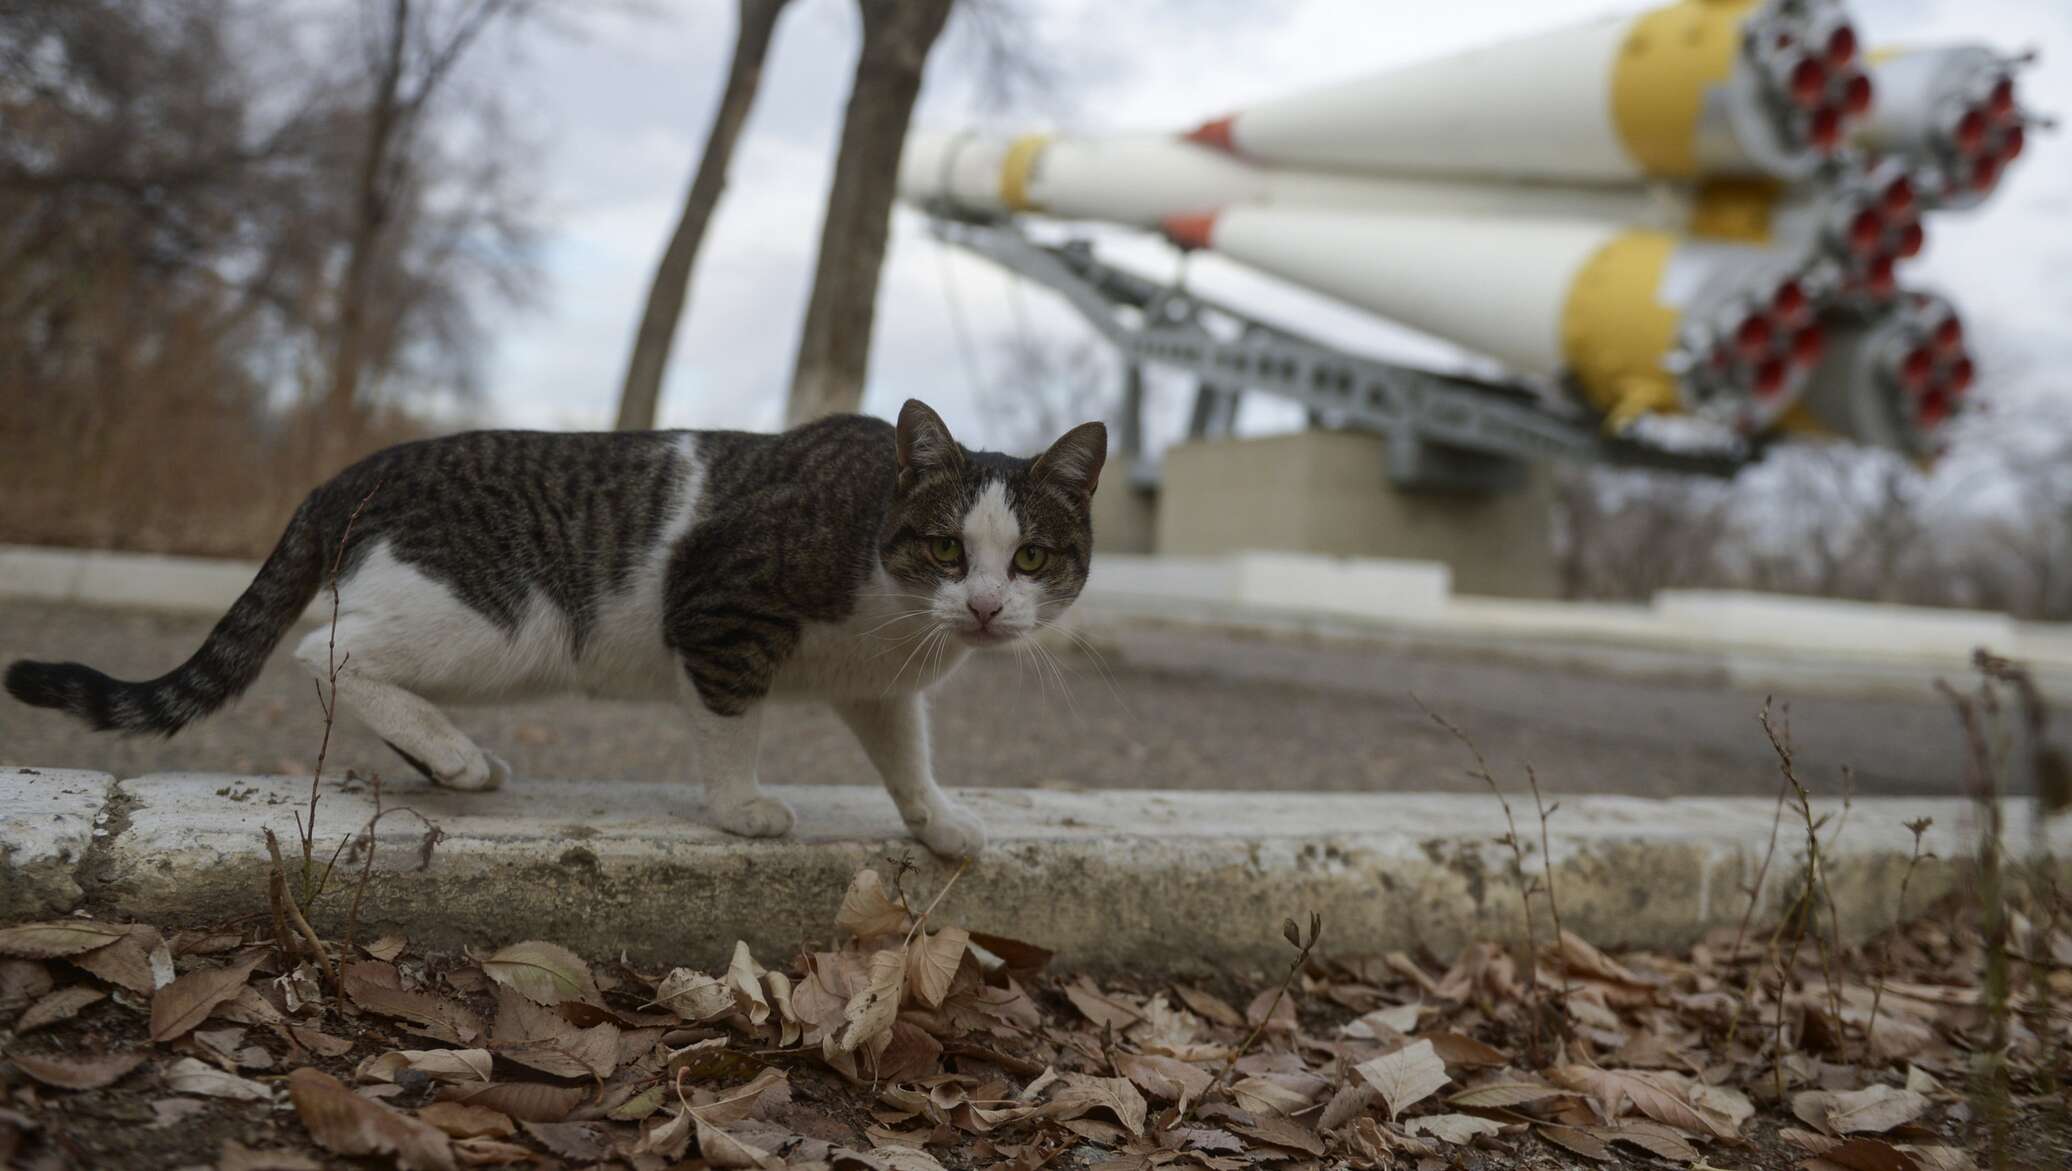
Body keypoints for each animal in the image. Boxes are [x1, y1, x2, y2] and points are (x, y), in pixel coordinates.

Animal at [8, 402, 1110, 858]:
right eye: (944, 547)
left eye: (1030, 560)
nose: (983, 607)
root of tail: (362, 466)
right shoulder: (718, 612)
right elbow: (730, 729)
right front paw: (740, 809)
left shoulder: (878, 685)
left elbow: (906, 757)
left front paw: (939, 824)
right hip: (498, 626)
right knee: (329, 651)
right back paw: (453, 756)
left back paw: (443, 758)